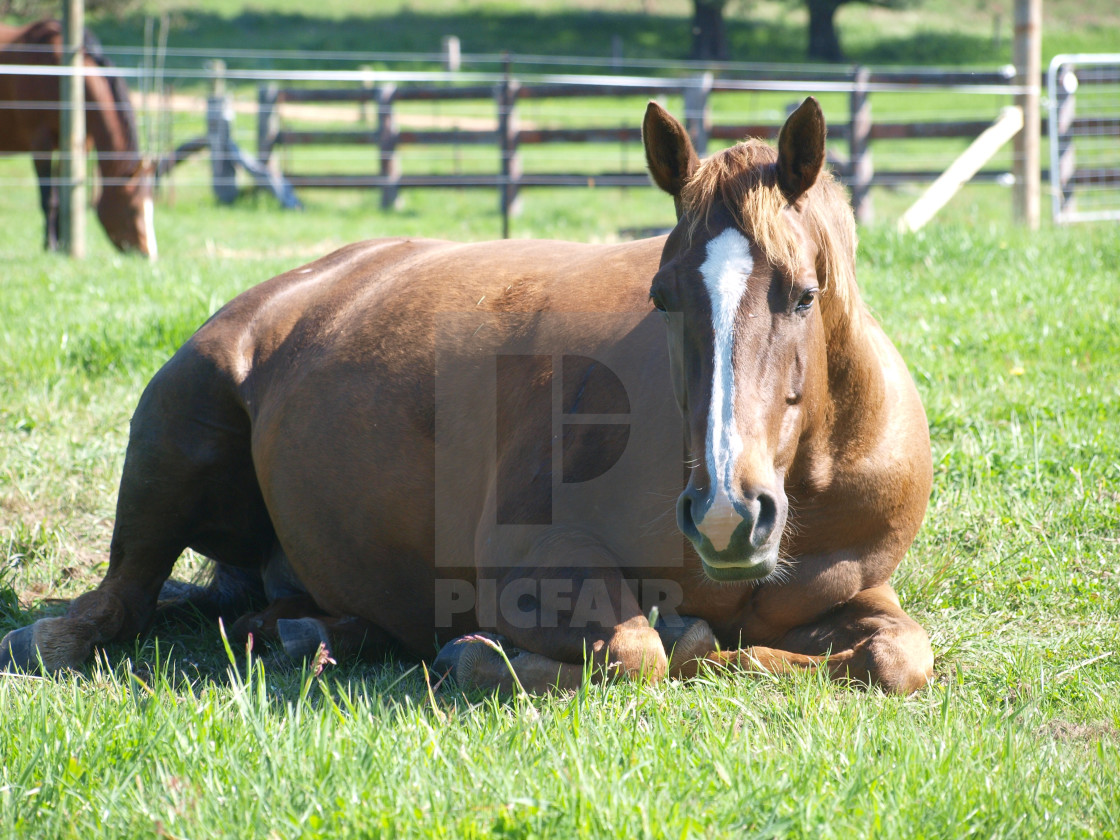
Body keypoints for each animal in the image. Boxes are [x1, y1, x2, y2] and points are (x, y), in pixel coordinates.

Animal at [0, 19, 157, 256]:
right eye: (133, 209)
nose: (149, 255)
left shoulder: (76, 146)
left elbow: (65, 194)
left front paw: (60, 244)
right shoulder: (42, 144)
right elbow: (49, 198)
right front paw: (51, 245)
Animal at [0, 95, 936, 694]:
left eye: (803, 294)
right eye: (664, 295)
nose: (725, 512)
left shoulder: (851, 597)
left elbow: (900, 660)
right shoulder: (536, 567)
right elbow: (641, 651)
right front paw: (481, 658)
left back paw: (316, 634)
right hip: (173, 439)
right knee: (116, 602)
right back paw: (57, 636)